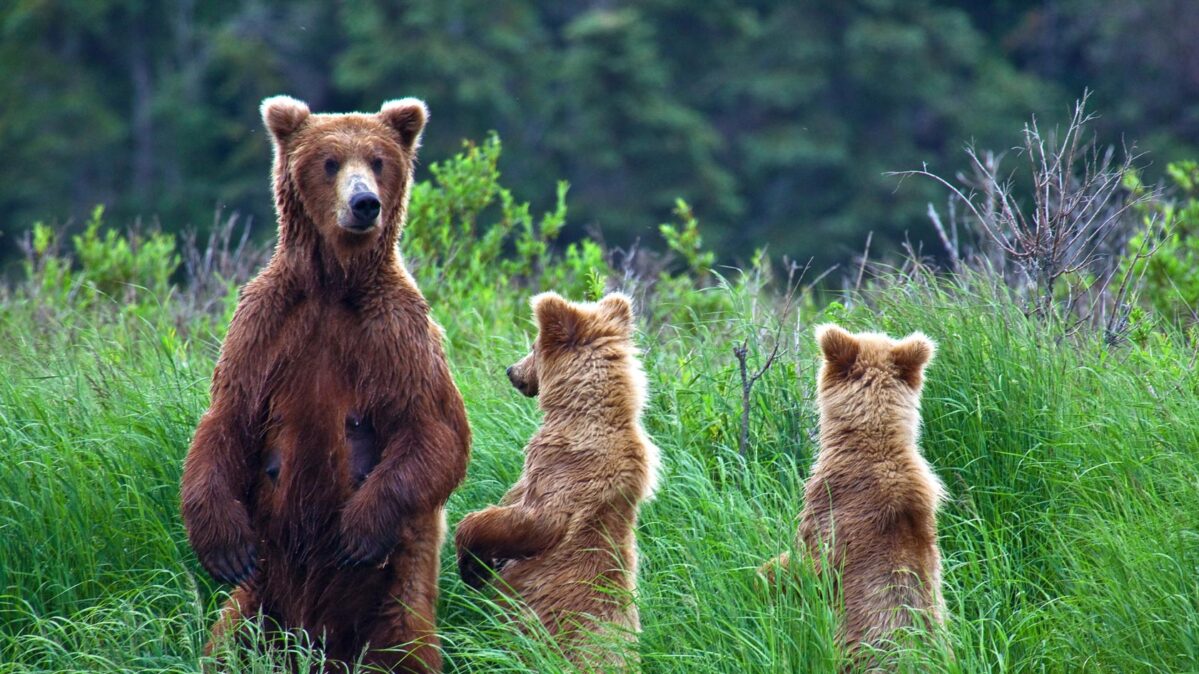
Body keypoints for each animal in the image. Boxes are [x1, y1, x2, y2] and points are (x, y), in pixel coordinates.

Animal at [179, 95, 470, 671]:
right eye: (330, 161)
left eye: (378, 160)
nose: (364, 204)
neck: (334, 284)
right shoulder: (265, 325)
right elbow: (226, 419)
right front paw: (224, 546)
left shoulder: (396, 332)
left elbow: (435, 429)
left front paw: (359, 530)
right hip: (261, 596)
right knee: (227, 640)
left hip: (392, 596)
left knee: (404, 646)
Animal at [453, 291, 661, 662]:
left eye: (533, 346)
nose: (511, 371)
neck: (581, 414)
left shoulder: (565, 468)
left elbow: (532, 521)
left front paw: (473, 564)